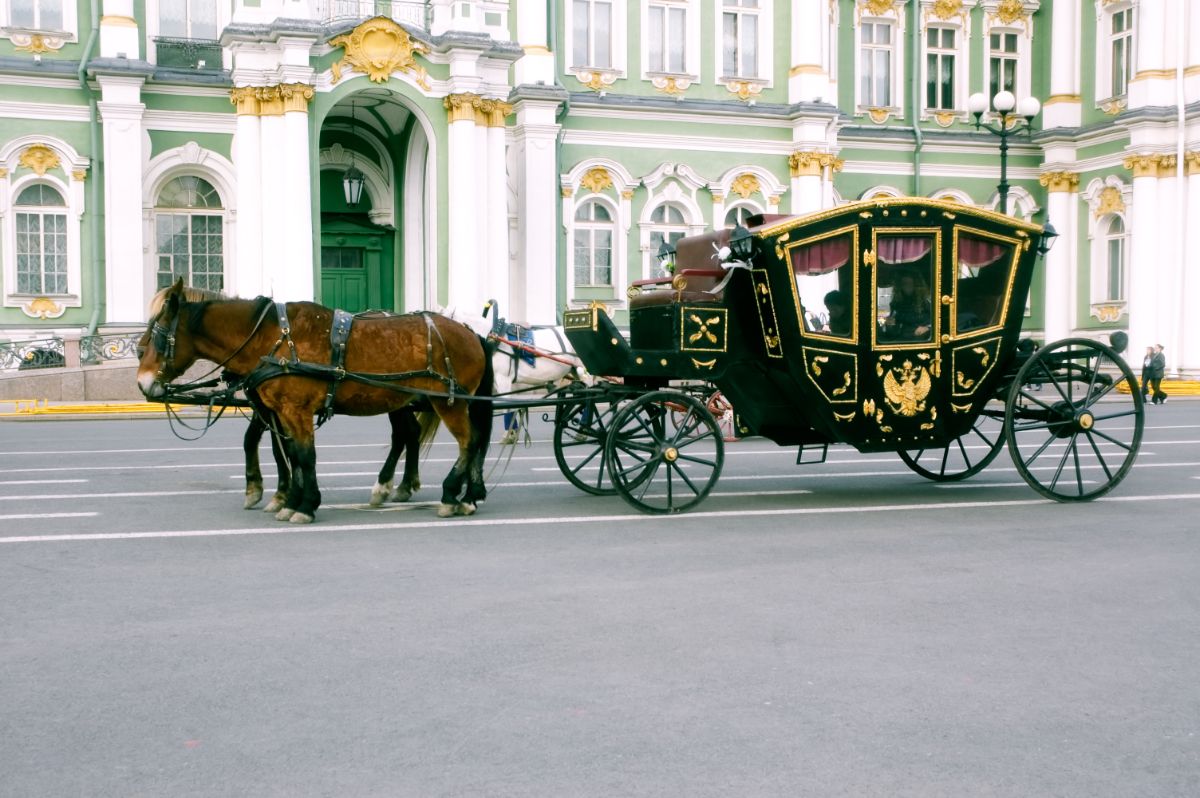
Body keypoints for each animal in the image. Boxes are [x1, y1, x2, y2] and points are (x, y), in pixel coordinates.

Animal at [138, 279, 494, 523]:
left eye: (158, 334)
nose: (142, 382)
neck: (274, 339)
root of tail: (470, 332)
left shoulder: (295, 411)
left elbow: (303, 456)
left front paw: (304, 504)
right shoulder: (278, 411)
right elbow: (290, 454)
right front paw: (289, 499)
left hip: (449, 403)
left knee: (468, 441)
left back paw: (451, 494)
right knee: (433, 437)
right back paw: (457, 494)